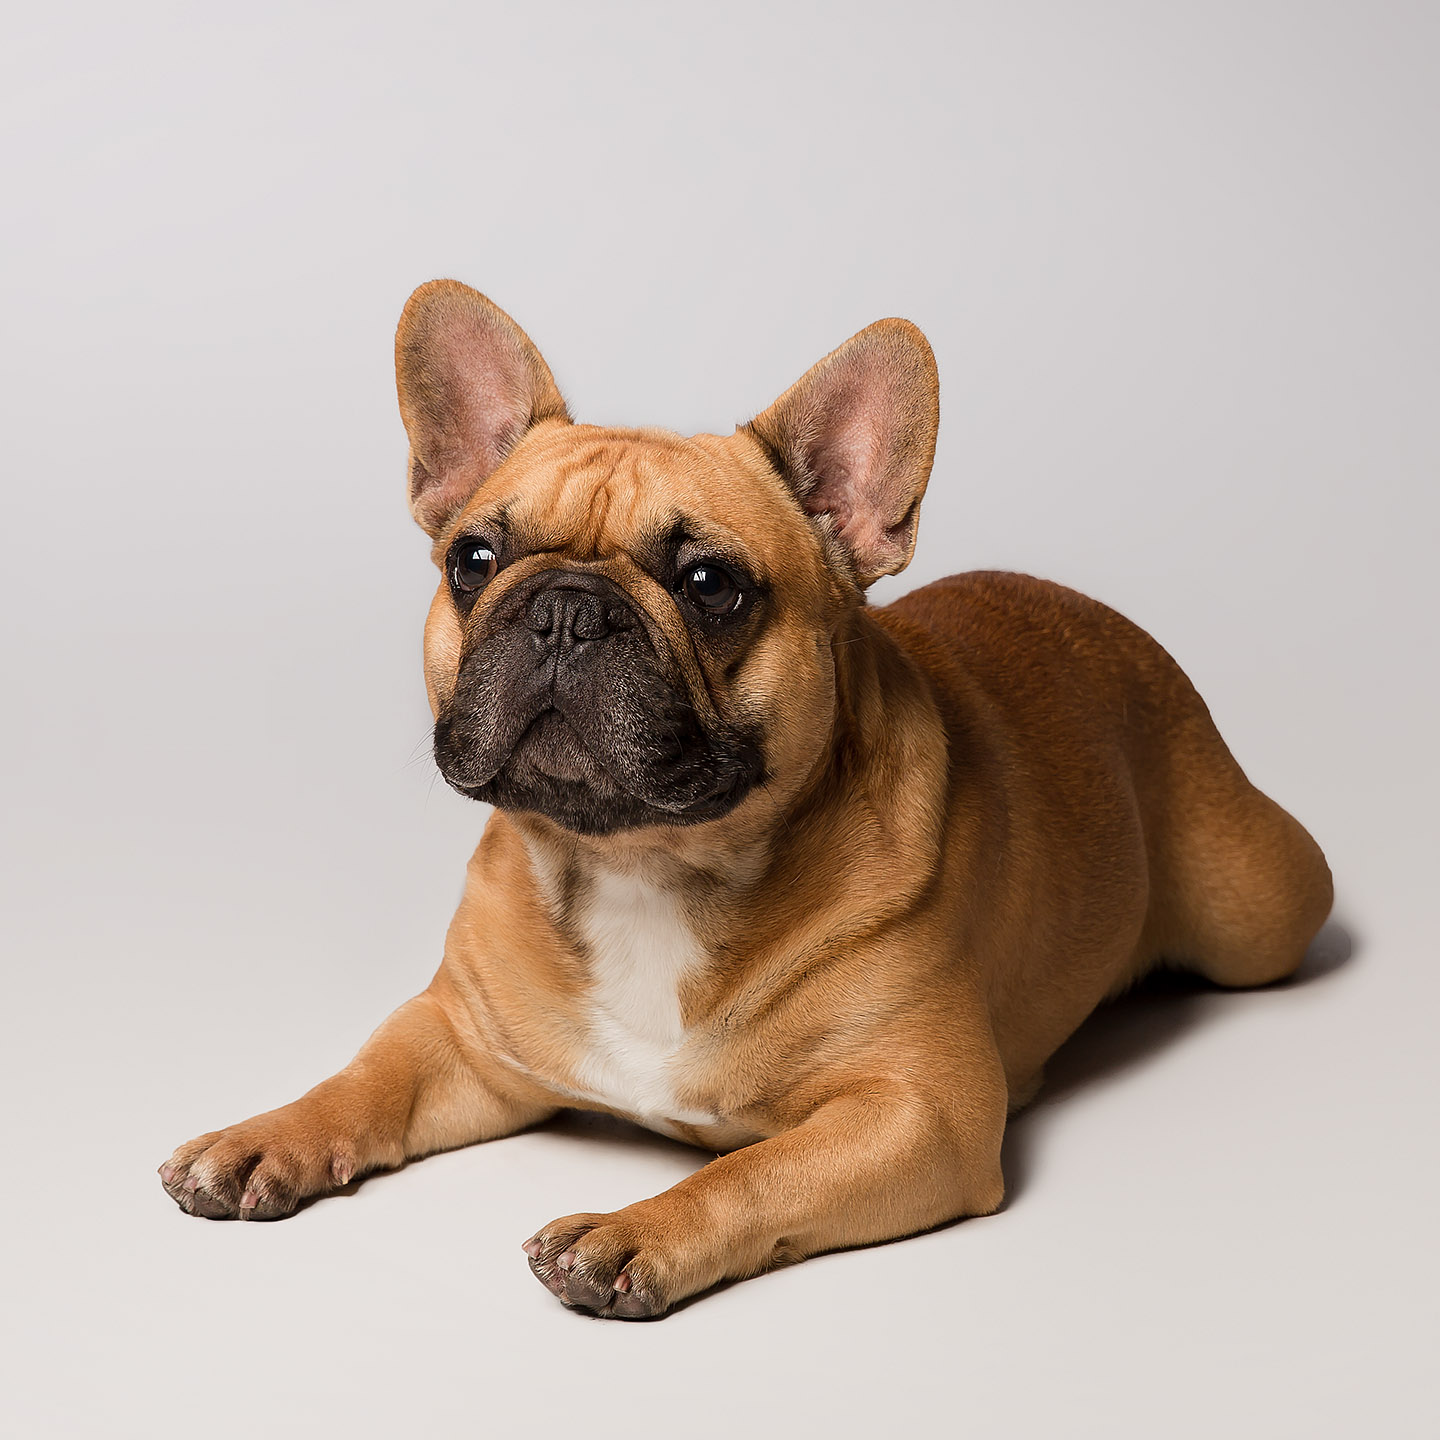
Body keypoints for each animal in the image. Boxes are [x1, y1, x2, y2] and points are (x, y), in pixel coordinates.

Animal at [160, 277, 1336, 1319]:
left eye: (710, 586)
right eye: (474, 558)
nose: (565, 610)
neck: (644, 868)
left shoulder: (922, 1113)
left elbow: (750, 1172)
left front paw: (635, 1229)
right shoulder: (459, 1038)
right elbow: (365, 1080)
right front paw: (264, 1135)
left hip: (1255, 909)